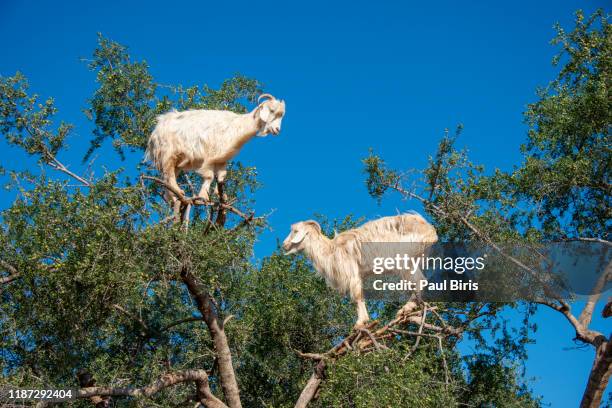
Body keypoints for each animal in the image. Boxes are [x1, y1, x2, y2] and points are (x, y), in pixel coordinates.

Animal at [145, 94, 286, 204]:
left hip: (176, 161)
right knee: (168, 173)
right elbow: (209, 176)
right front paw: (203, 197)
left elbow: (221, 177)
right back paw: (179, 192)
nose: (277, 130)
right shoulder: (209, 156)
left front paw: (222, 196)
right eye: (272, 110)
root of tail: (156, 131)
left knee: (168, 177)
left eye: (281, 115)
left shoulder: (222, 159)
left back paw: (173, 198)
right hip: (168, 153)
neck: (238, 125)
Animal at [284, 212, 438, 326]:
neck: (331, 250)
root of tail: (430, 231)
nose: (284, 245)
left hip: (405, 259)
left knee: (419, 281)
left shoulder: (351, 272)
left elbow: (357, 296)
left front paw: (360, 323)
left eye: (295, 231)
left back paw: (405, 309)